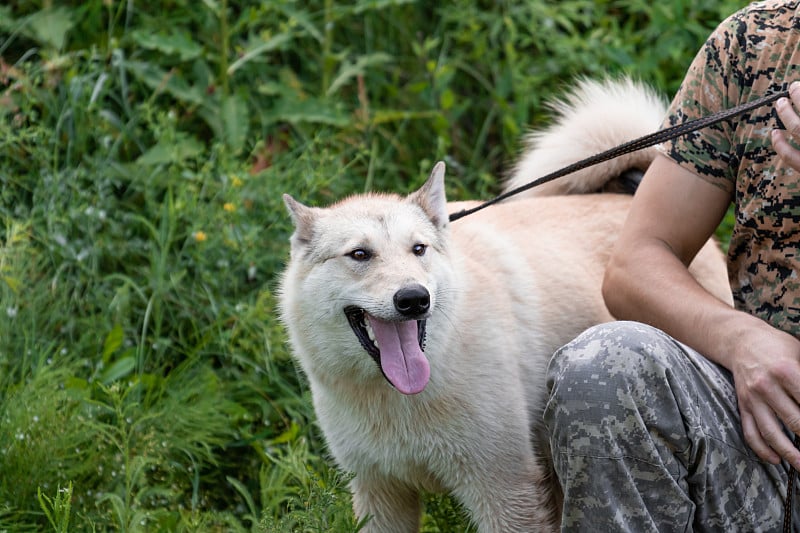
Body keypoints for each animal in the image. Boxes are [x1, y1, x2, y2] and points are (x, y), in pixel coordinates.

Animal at [278, 79, 736, 532]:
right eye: (359, 255)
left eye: (418, 249)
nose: (414, 299)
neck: (400, 397)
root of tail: (631, 189)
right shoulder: (381, 495)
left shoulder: (507, 491)